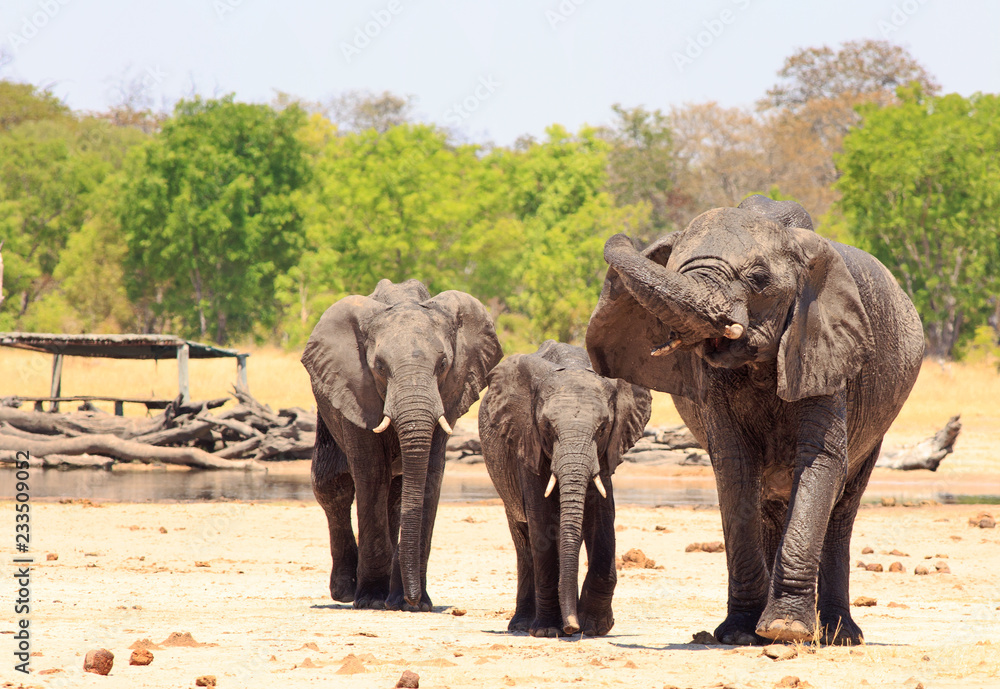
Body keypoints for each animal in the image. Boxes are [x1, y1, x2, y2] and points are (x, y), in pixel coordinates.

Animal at [301, 279, 502, 611]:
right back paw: (346, 592)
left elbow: (428, 476)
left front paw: (413, 605)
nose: (412, 598)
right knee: (333, 482)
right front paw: (371, 600)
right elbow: (371, 474)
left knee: (395, 494)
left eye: (443, 363)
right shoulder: (356, 388)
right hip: (326, 401)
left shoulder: (449, 394)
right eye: (380, 366)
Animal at [479, 340, 651, 637]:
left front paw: (593, 627)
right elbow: (541, 520)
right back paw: (522, 624)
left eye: (603, 428)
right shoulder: (527, 439)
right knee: (523, 540)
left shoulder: (605, 452)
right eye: (547, 427)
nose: (572, 627)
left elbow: (601, 518)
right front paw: (548, 631)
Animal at [586, 196, 924, 645]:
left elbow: (820, 461)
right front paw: (739, 634)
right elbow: (735, 468)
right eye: (673, 267)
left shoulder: (823, 346)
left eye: (759, 279)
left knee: (842, 509)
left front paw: (786, 630)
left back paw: (839, 635)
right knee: (770, 503)